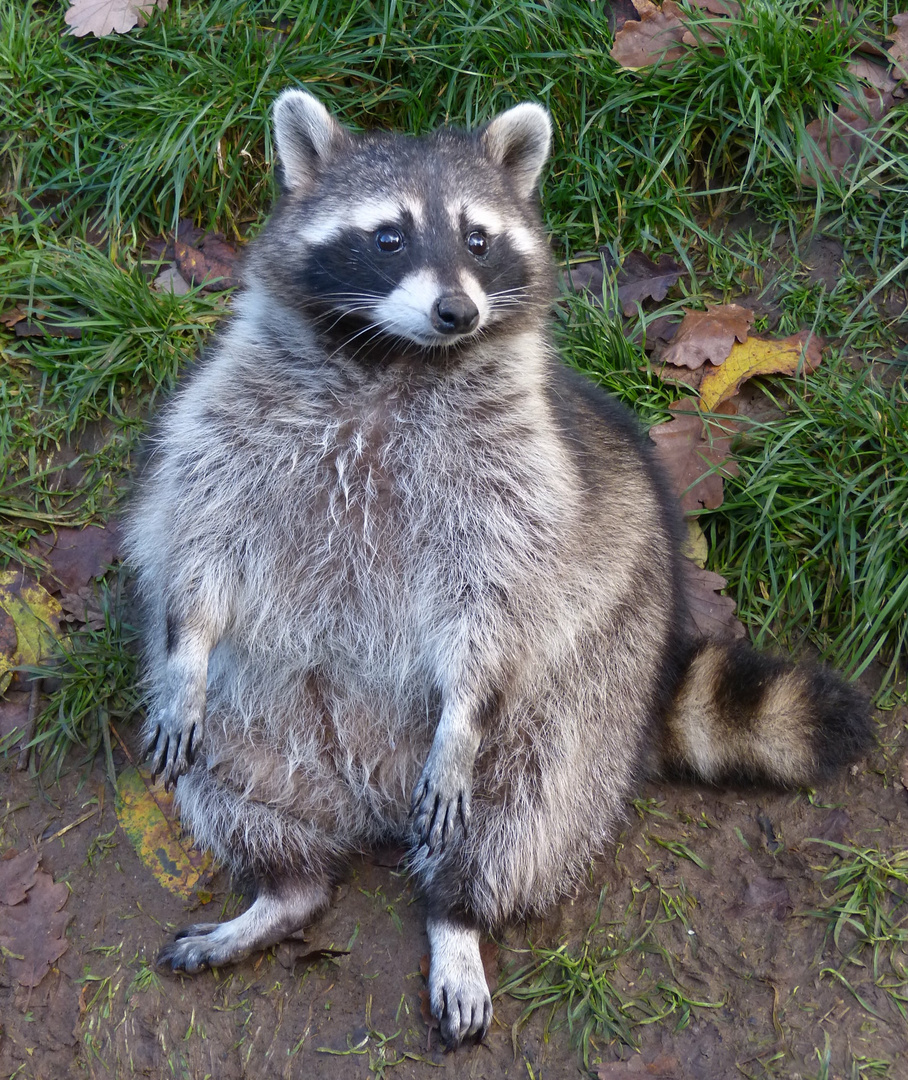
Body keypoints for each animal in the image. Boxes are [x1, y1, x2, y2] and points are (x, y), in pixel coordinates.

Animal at [127, 88, 872, 1049]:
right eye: (389, 236)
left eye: (478, 239)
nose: (458, 311)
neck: (393, 360)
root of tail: (369, 797)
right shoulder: (236, 413)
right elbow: (205, 535)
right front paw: (189, 637)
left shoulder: (514, 477)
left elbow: (496, 598)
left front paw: (464, 715)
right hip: (262, 714)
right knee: (234, 773)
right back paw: (285, 886)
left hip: (590, 687)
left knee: (526, 811)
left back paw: (457, 916)